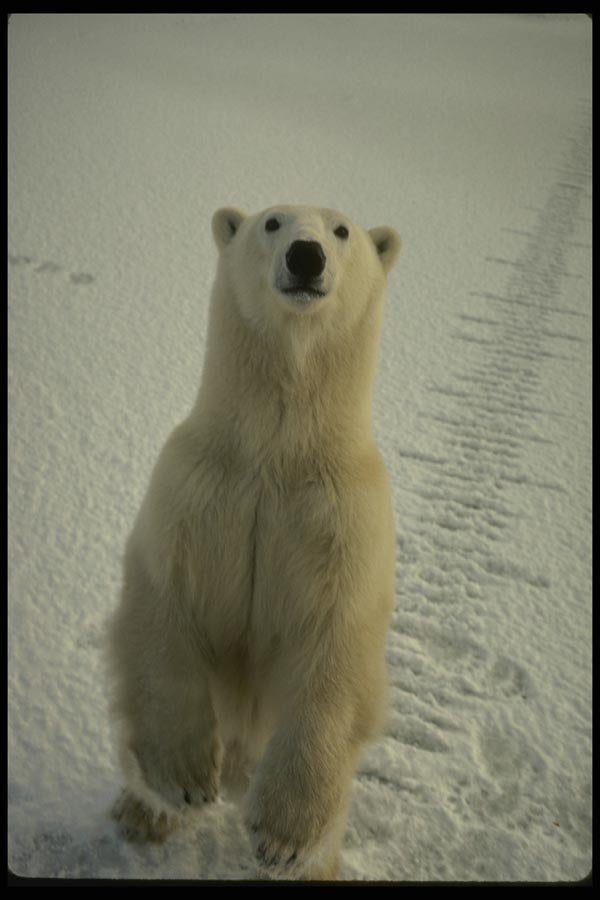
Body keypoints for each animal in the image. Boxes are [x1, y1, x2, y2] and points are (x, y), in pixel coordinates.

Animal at [108, 204, 401, 880]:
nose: (305, 257)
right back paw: (140, 814)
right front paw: (186, 778)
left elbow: (333, 644)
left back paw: (319, 864)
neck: (276, 452)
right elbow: (163, 604)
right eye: (271, 222)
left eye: (342, 230)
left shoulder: (343, 519)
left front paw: (283, 837)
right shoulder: (196, 486)